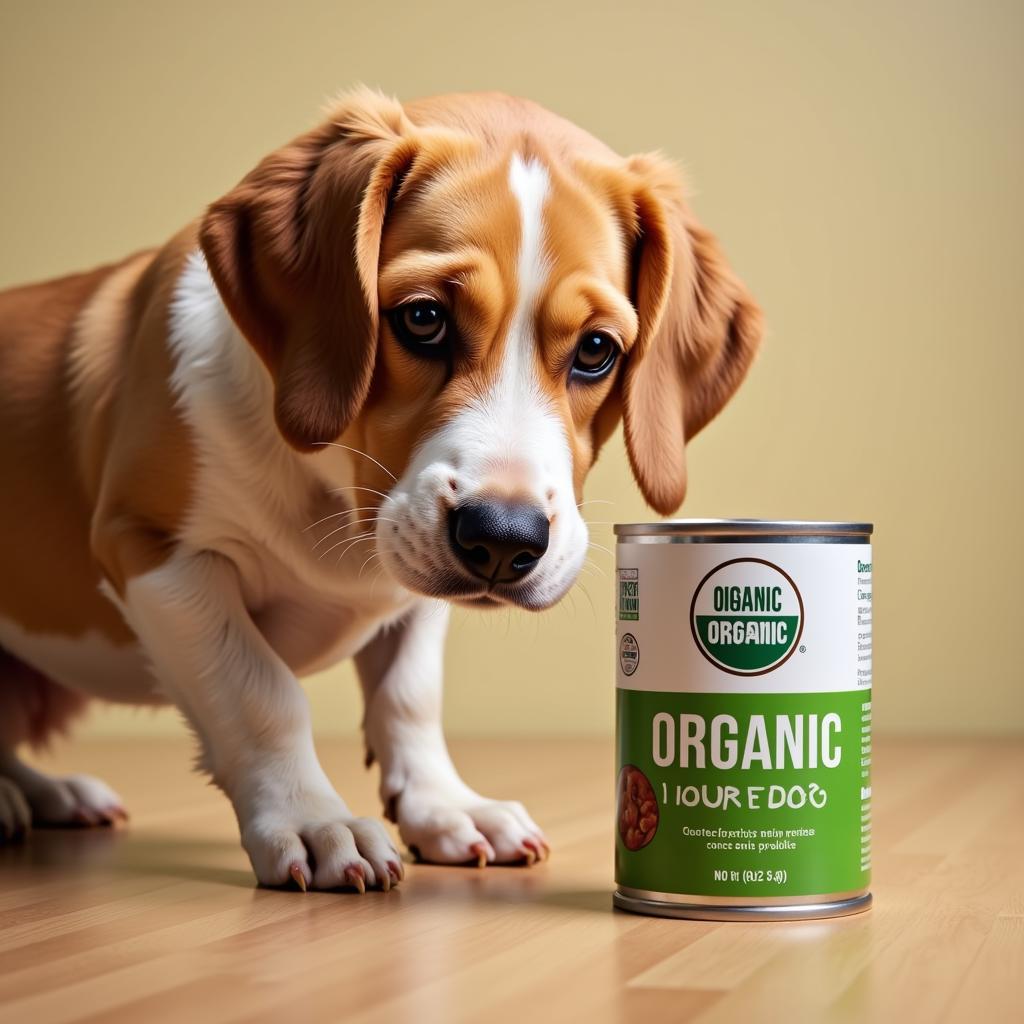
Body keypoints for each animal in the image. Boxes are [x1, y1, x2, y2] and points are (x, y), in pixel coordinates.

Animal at [0, 88, 761, 888]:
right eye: (423, 318)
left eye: (596, 350)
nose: (503, 542)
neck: (334, 493)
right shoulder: (156, 552)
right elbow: (260, 692)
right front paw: (312, 819)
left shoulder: (414, 589)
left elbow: (409, 696)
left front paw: (446, 806)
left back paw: (47, 793)